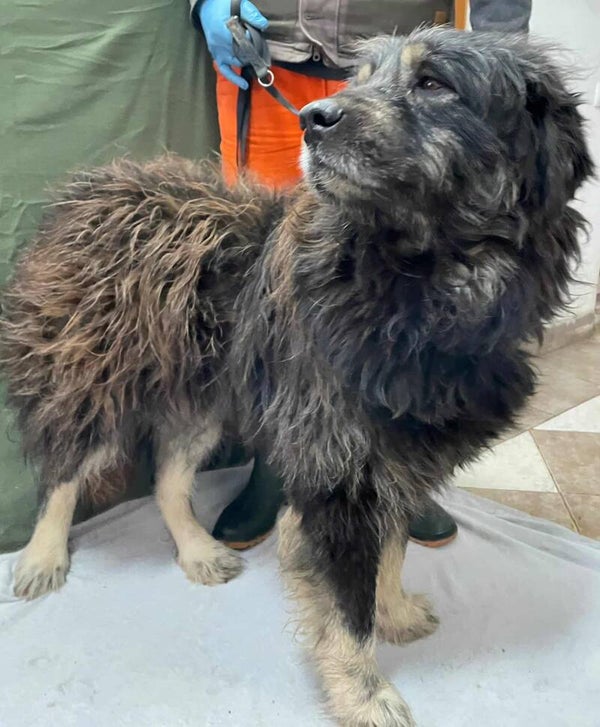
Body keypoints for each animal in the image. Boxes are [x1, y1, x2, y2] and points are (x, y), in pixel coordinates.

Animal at [0, 27, 592, 727]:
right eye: (359, 78)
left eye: (434, 84)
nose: (314, 118)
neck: (419, 290)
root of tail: (93, 188)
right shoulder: (340, 480)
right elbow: (347, 610)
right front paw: (365, 695)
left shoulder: (397, 463)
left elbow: (391, 553)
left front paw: (394, 611)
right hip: (94, 384)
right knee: (63, 471)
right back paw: (42, 557)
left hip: (200, 403)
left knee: (168, 481)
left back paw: (196, 551)